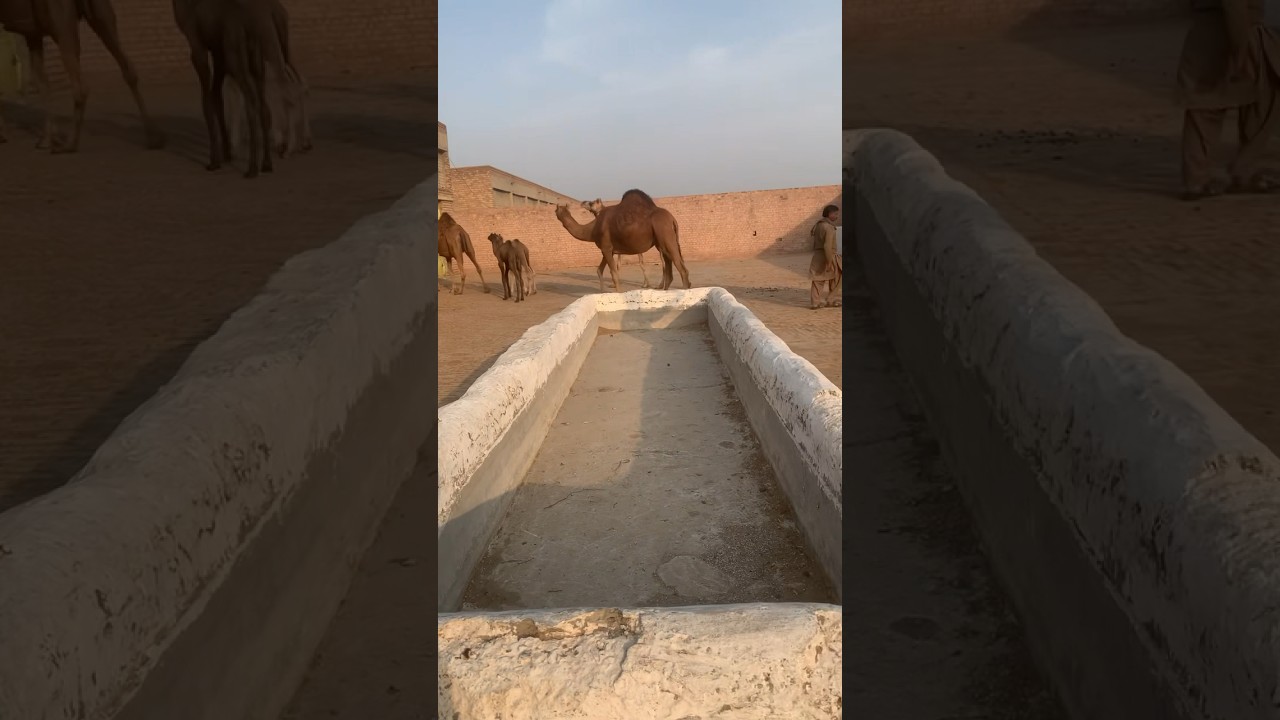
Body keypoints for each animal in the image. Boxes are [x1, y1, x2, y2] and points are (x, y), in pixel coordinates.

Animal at [0, 0, 165, 151]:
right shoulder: (33, 32)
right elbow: (42, 83)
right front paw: (47, 139)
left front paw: (5, 136)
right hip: (101, 14)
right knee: (129, 69)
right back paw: (154, 138)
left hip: (62, 24)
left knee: (81, 84)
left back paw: (70, 144)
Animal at [173, 0, 289, 178]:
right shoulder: (218, 51)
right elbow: (216, 98)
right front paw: (227, 155)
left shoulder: (197, 45)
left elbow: (206, 102)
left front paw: (214, 162)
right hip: (256, 58)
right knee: (263, 105)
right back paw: (267, 164)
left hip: (235, 54)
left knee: (251, 101)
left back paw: (252, 169)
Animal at [555, 190, 690, 291]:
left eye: (592, 203)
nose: (582, 202)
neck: (592, 229)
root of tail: (672, 219)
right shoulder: (607, 250)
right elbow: (599, 270)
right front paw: (602, 293)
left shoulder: (606, 248)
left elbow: (614, 273)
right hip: (662, 243)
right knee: (669, 269)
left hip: (666, 236)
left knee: (681, 269)